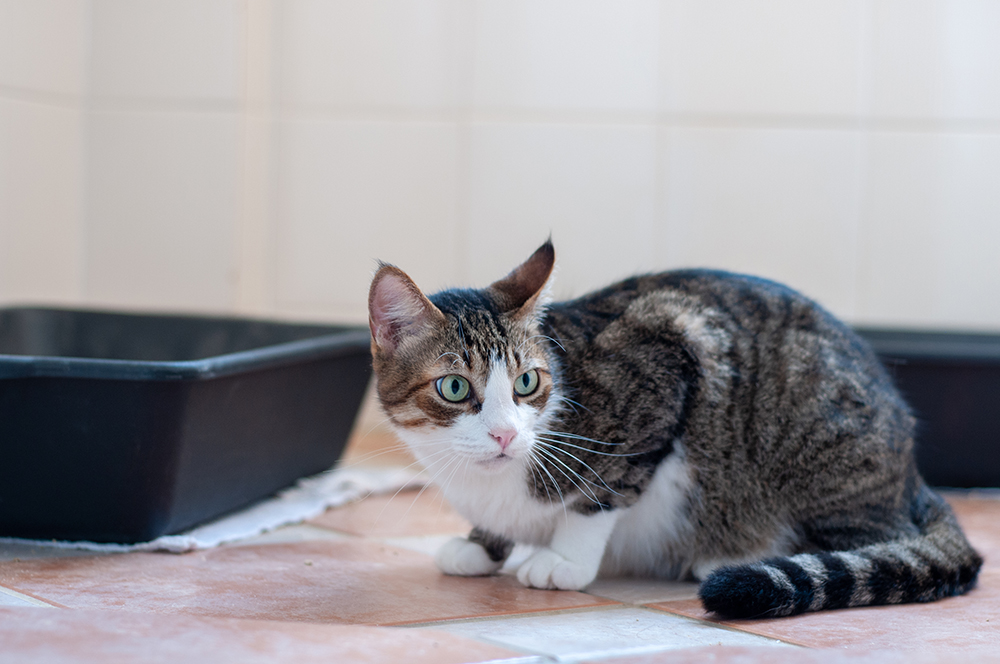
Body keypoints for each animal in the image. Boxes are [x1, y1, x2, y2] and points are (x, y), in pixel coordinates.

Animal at [364, 239, 980, 616]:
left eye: (527, 383)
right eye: (454, 388)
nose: (506, 435)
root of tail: (913, 479)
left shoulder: (667, 356)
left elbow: (603, 491)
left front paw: (565, 561)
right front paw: (481, 546)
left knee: (881, 539)